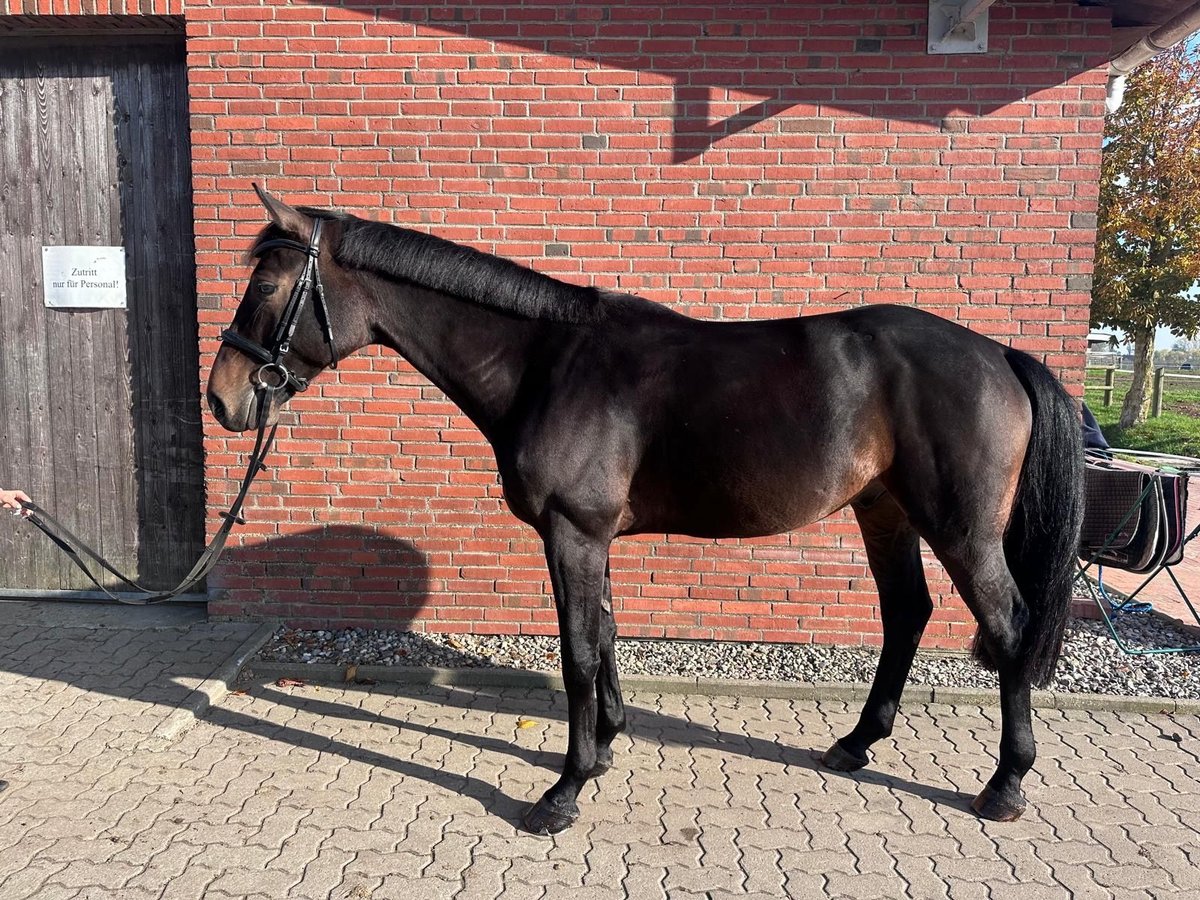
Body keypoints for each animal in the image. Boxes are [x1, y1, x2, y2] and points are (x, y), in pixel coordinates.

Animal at [208, 190, 1089, 840]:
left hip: (961, 527)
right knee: (906, 613)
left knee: (1007, 627)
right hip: (886, 511)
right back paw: (854, 744)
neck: (546, 365)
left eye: (266, 288)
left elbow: (576, 655)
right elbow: (603, 635)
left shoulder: (573, 532)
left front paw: (562, 792)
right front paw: (601, 751)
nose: (223, 400)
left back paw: (1005, 783)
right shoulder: (591, 536)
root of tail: (998, 354)